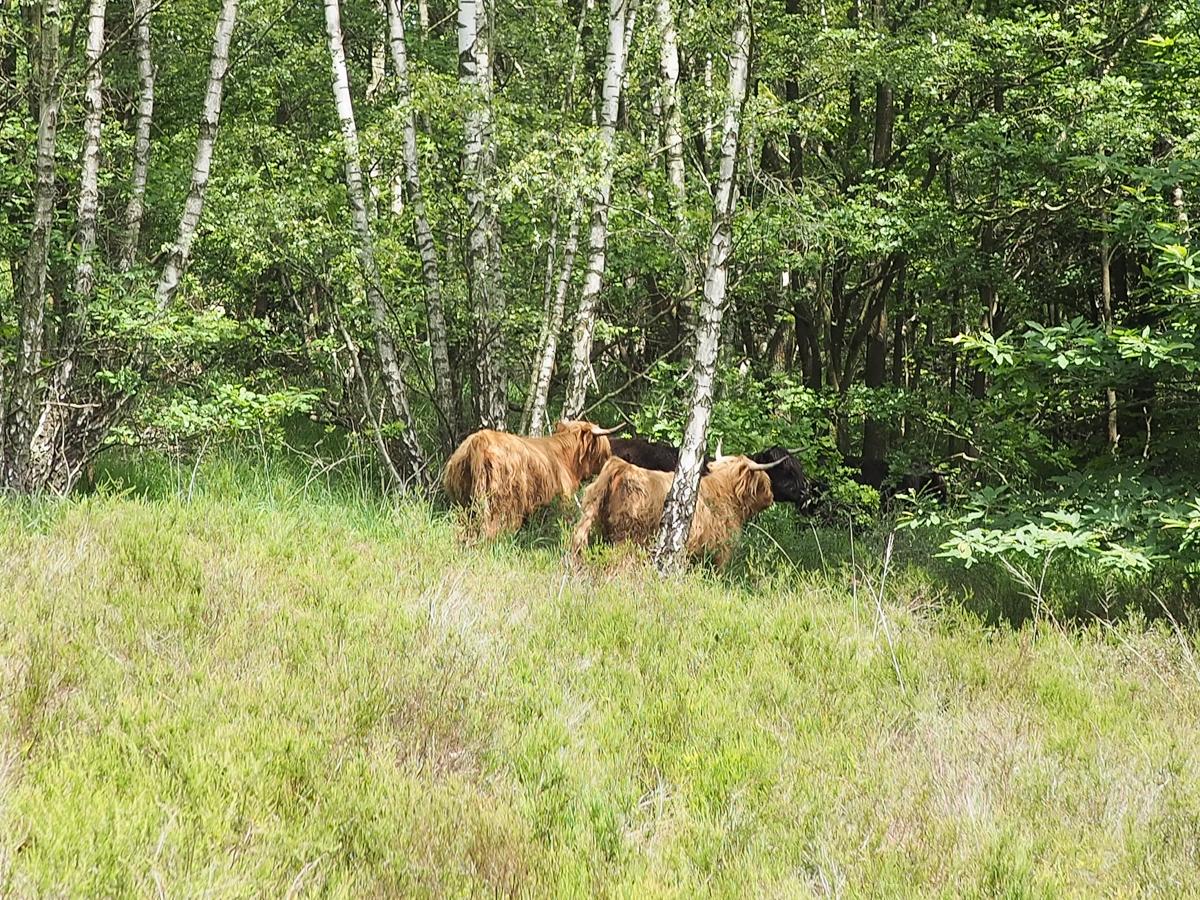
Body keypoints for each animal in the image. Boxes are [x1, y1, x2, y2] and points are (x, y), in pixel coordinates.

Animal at [446, 422, 624, 540]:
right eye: (603, 450)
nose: (610, 459)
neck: (565, 458)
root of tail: (479, 442)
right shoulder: (563, 500)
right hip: (503, 503)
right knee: (495, 528)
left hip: (462, 503)